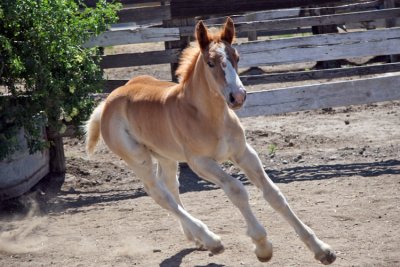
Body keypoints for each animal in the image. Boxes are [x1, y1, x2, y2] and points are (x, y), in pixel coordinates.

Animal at [86, 17, 336, 264]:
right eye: (210, 63)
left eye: (237, 57)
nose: (238, 96)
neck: (208, 117)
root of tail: (107, 102)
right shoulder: (200, 162)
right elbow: (236, 190)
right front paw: (262, 245)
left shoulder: (244, 153)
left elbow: (273, 193)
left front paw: (321, 249)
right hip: (138, 158)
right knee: (159, 194)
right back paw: (212, 240)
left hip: (166, 156)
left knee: (170, 186)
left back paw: (196, 238)